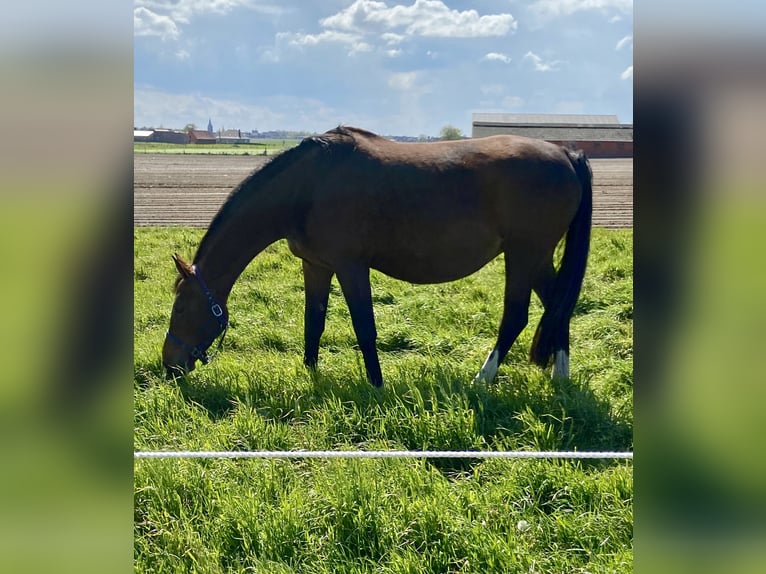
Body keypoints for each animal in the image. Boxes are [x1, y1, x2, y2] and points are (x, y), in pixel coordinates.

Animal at [164, 125, 592, 388]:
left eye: (181, 308)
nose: (169, 366)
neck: (307, 186)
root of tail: (566, 153)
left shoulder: (351, 267)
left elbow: (364, 327)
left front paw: (376, 383)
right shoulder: (316, 266)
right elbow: (313, 323)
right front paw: (310, 372)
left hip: (523, 255)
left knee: (516, 316)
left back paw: (481, 380)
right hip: (538, 257)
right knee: (558, 308)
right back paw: (561, 378)